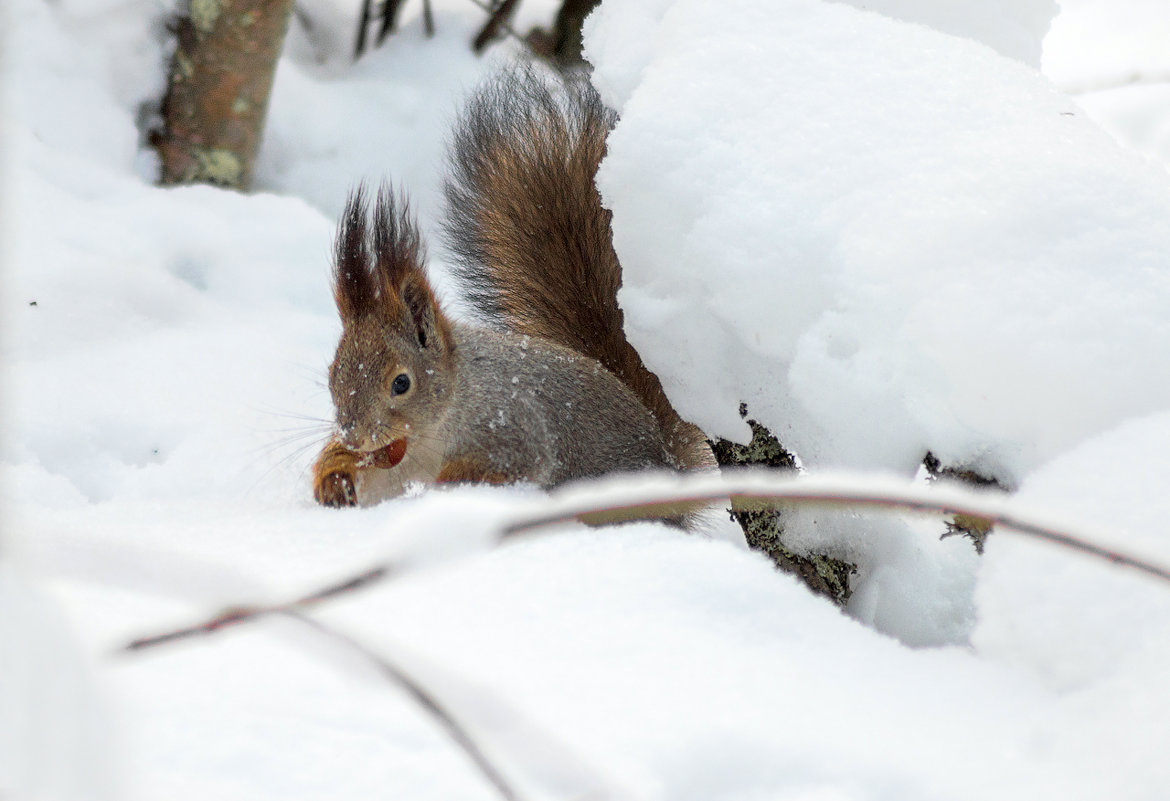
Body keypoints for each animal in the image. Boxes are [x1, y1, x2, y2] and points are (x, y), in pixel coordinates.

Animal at [311, 67, 711, 505]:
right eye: (332, 374)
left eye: (402, 383)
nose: (353, 435)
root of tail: (669, 467)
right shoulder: (398, 458)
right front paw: (335, 475)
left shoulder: (512, 426)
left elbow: (510, 464)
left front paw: (441, 490)